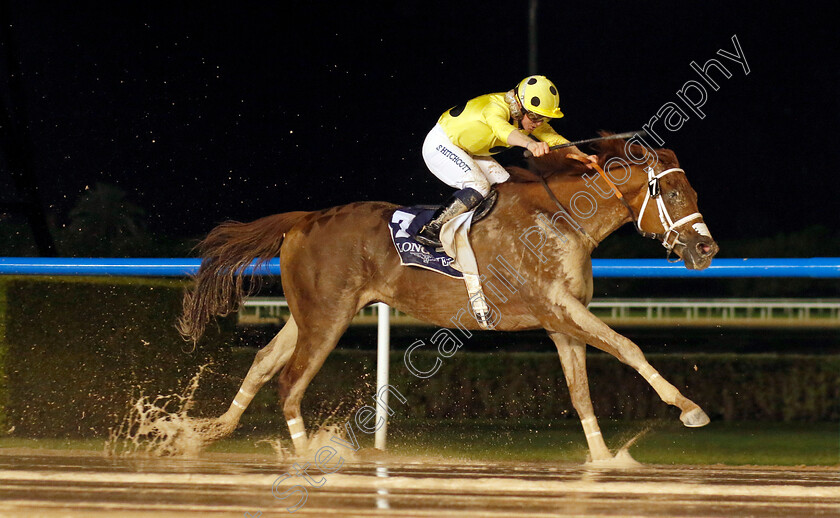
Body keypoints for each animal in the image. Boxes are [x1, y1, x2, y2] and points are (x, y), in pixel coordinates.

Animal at [176, 137, 716, 464]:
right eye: (671, 191)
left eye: (691, 188)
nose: (706, 249)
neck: (561, 218)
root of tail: (304, 219)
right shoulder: (557, 308)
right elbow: (628, 347)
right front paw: (689, 408)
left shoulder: (562, 323)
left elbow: (581, 391)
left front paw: (602, 460)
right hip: (327, 318)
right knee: (289, 382)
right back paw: (307, 456)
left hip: (311, 315)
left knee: (265, 361)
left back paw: (210, 431)